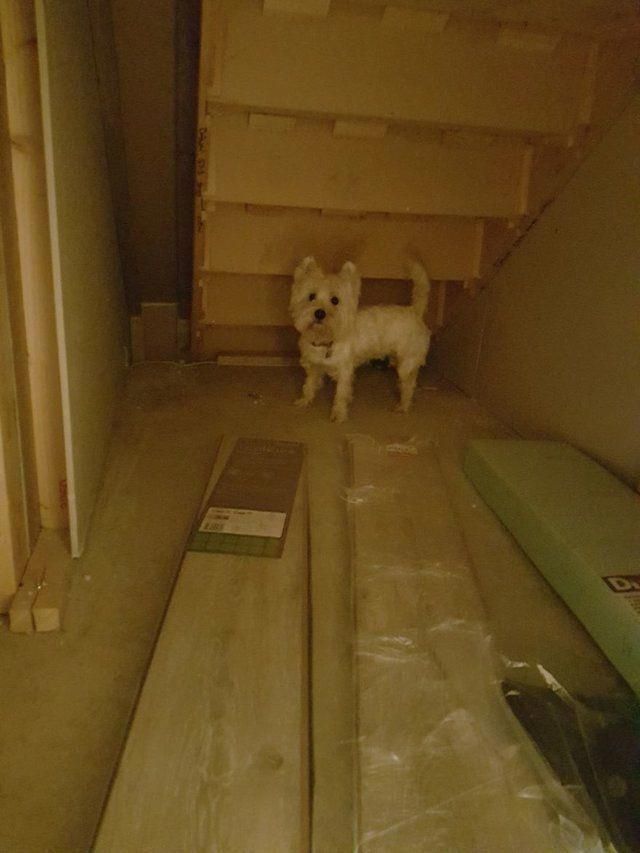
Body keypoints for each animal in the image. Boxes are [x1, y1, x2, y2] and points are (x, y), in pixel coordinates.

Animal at [292, 256, 432, 422]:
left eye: (335, 300)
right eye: (311, 296)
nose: (320, 313)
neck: (326, 338)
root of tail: (414, 311)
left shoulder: (344, 371)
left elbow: (341, 394)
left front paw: (338, 414)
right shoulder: (313, 366)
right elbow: (309, 385)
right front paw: (305, 400)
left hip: (406, 363)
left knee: (409, 384)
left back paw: (403, 406)